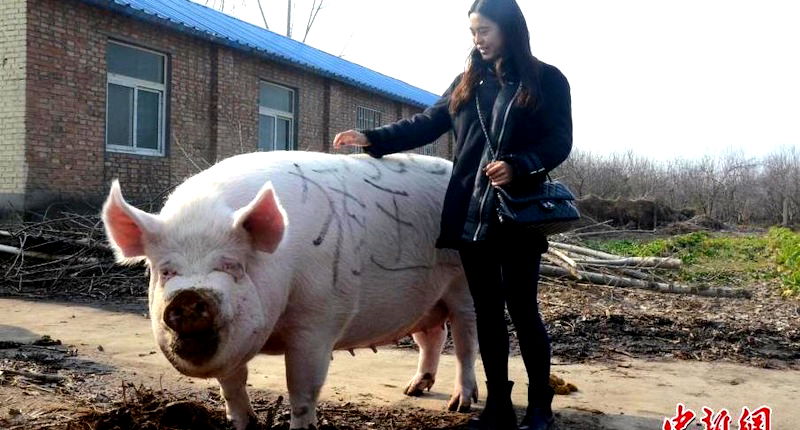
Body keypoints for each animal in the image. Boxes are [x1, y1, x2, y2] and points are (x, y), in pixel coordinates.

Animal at [99, 151, 476, 430]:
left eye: (233, 266)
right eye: (166, 271)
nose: (189, 296)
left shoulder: (318, 321)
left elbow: (302, 388)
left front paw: (302, 426)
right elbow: (232, 385)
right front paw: (243, 424)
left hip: (464, 286)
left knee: (465, 343)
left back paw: (460, 405)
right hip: (426, 300)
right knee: (433, 336)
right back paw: (414, 389)